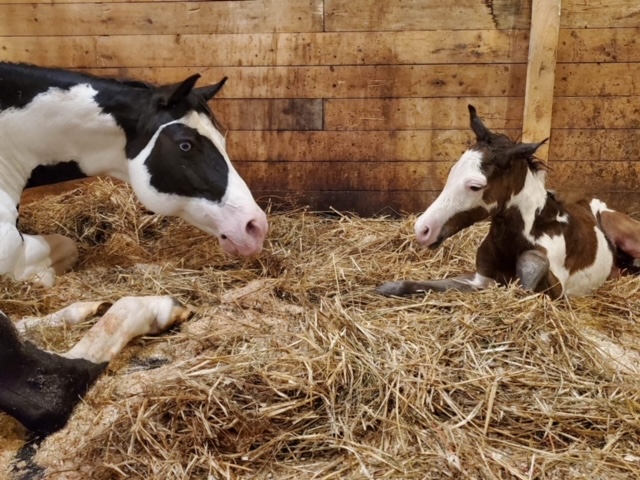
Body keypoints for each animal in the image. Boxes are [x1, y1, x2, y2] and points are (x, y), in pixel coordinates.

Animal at [378, 105, 640, 300]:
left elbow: (530, 264)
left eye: (475, 186)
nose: (422, 230)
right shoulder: (479, 279)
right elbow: (411, 285)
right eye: (452, 171)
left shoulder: (556, 291)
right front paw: (384, 288)